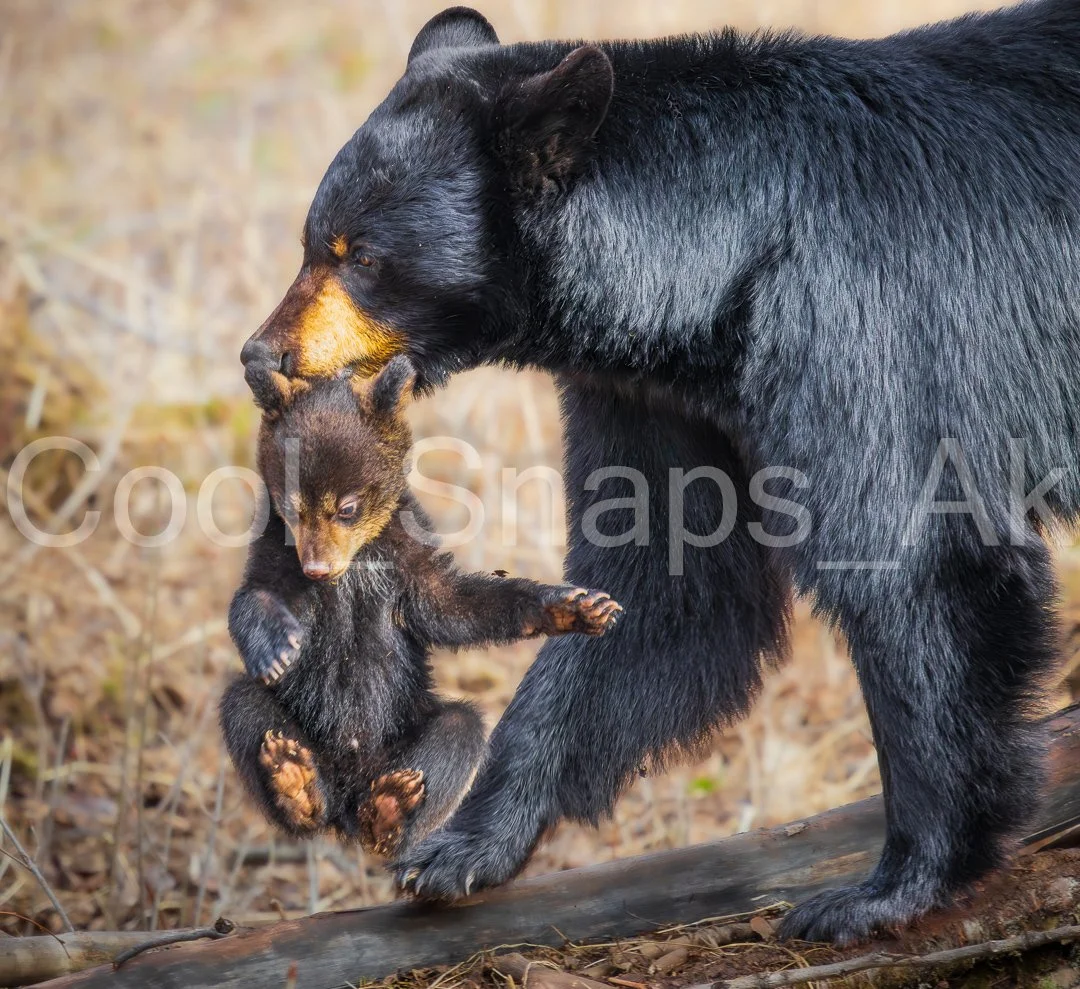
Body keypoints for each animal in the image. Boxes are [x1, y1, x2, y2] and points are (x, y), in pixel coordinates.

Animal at [221, 350, 622, 856]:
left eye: (347, 507)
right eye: (293, 506)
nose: (317, 569)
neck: (360, 557)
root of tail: (348, 804)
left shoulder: (407, 556)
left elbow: (452, 606)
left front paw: (578, 606)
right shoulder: (277, 547)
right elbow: (255, 594)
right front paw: (276, 648)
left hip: (410, 728)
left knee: (459, 730)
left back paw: (390, 806)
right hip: (298, 734)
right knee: (243, 705)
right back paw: (294, 780)